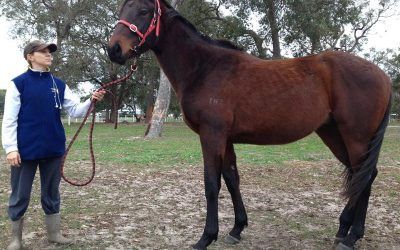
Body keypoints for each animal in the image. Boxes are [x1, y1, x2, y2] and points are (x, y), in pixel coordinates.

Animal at [106, 0, 390, 249]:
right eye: (121, 8)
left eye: (144, 11)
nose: (114, 49)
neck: (205, 67)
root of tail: (383, 75)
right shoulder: (226, 139)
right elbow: (232, 179)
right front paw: (236, 229)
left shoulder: (211, 135)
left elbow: (212, 184)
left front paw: (206, 238)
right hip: (333, 134)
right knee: (362, 175)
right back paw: (344, 230)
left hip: (355, 137)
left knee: (365, 176)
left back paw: (351, 237)